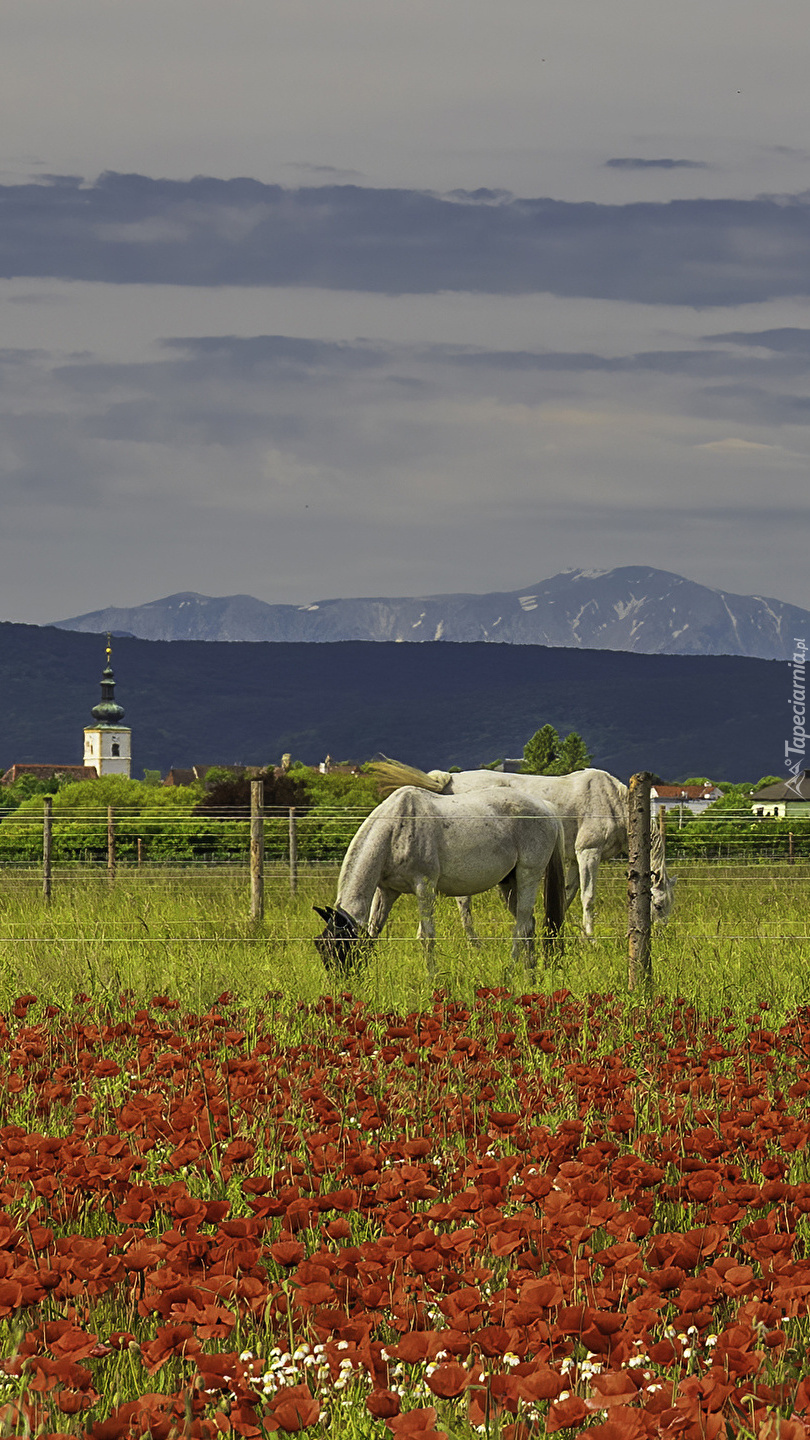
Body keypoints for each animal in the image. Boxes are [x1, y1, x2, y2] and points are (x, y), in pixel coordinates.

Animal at [312, 789, 564, 979]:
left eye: (339, 946)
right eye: (320, 946)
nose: (342, 982)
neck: (397, 828)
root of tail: (547, 808)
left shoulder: (424, 887)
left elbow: (426, 936)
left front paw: (431, 979)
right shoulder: (387, 891)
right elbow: (373, 931)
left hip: (528, 875)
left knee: (520, 926)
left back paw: (509, 974)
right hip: (508, 884)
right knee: (528, 924)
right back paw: (530, 975)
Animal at [368, 760, 671, 938]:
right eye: (657, 904)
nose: (662, 936)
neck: (614, 801)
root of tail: (449, 780)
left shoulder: (573, 860)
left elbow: (567, 894)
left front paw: (556, 929)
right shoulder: (588, 853)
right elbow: (588, 897)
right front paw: (590, 938)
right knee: (463, 901)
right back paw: (472, 941)